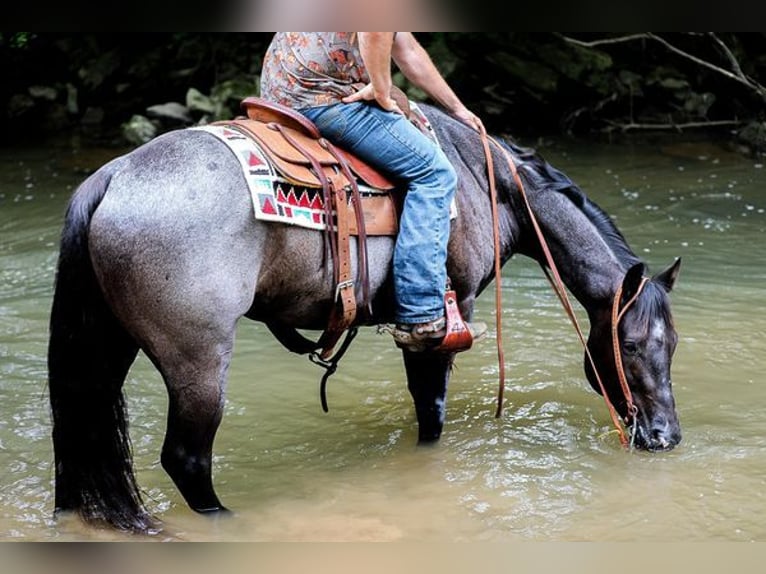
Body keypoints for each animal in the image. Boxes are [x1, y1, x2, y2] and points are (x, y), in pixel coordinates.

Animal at [48, 102, 684, 536]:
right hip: (198, 359)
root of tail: (114, 177)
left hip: (110, 344)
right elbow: (431, 410)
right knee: (186, 457)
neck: (485, 185)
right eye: (631, 345)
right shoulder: (446, 317)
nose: (666, 437)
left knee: (82, 438)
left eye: (673, 345)